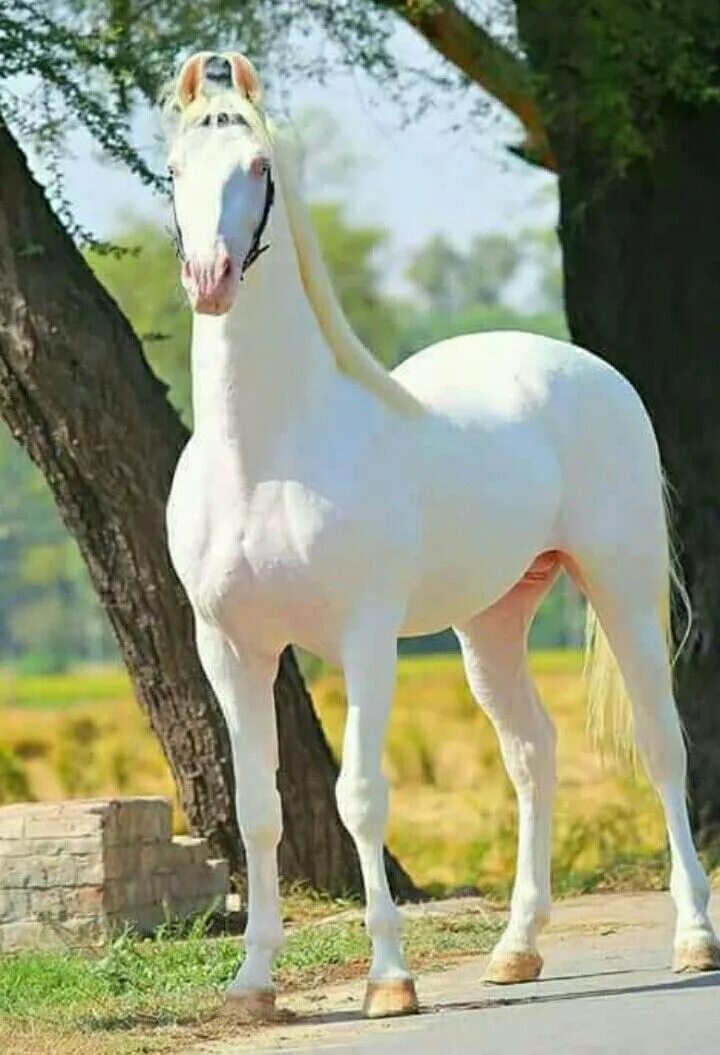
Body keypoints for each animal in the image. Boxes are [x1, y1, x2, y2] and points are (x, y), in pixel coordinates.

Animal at [164, 50, 720, 1020]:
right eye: (172, 171)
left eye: (259, 168)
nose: (210, 277)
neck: (266, 452)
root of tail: (588, 368)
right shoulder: (229, 645)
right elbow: (260, 809)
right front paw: (252, 983)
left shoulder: (364, 636)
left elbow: (360, 795)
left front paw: (390, 978)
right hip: (492, 621)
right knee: (533, 754)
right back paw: (516, 949)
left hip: (617, 583)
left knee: (661, 744)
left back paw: (692, 937)